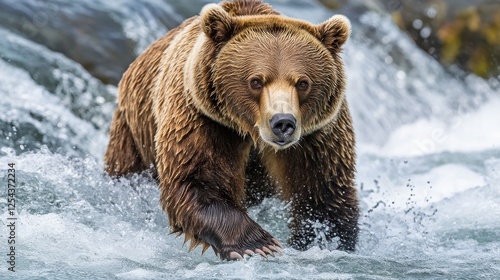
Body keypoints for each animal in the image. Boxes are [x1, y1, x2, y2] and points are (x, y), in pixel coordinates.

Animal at [103, 0, 358, 260]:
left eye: (303, 82)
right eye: (256, 81)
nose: (283, 123)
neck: (252, 132)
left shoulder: (316, 136)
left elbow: (322, 193)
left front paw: (323, 241)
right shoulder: (204, 118)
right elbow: (197, 179)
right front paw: (258, 243)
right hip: (133, 133)